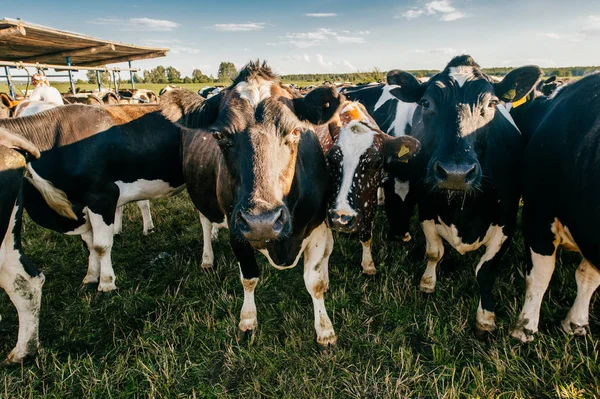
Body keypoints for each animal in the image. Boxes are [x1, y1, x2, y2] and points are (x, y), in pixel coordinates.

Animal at [162, 61, 344, 352]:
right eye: (219, 135)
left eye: (296, 131)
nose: (262, 221)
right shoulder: (237, 228)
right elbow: (248, 277)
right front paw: (247, 321)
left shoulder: (316, 227)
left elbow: (314, 282)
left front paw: (325, 331)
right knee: (205, 223)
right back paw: (207, 257)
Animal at [316, 100, 420, 276]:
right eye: (331, 159)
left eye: (375, 163)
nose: (342, 218)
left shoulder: (370, 200)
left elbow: (366, 235)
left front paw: (368, 265)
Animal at [390, 55, 544, 338]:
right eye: (426, 103)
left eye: (492, 103)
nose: (456, 173)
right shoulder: (426, 206)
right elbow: (434, 252)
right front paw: (427, 283)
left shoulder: (507, 218)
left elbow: (486, 270)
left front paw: (485, 318)